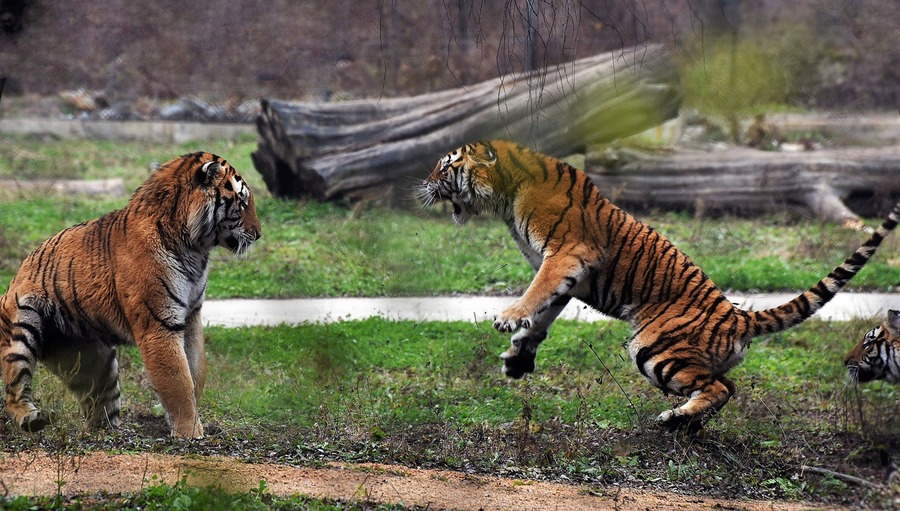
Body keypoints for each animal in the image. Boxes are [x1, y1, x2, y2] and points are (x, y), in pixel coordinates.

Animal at [0, 152, 262, 438]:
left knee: (99, 402)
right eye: (242, 202)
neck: (195, 249)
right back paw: (31, 419)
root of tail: (18, 272)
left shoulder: (191, 316)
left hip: (95, 360)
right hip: (21, 329)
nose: (259, 234)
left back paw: (109, 434)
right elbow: (178, 380)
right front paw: (190, 432)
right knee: (13, 388)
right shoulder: (159, 323)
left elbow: (195, 371)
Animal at [419, 139, 900, 432]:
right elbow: (544, 316)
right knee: (725, 387)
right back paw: (688, 423)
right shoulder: (568, 275)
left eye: (445, 165)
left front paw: (507, 318)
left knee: (721, 388)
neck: (505, 196)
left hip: (653, 347)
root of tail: (738, 316)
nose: (423, 184)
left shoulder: (567, 255)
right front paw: (519, 358)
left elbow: (535, 294)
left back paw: (674, 419)